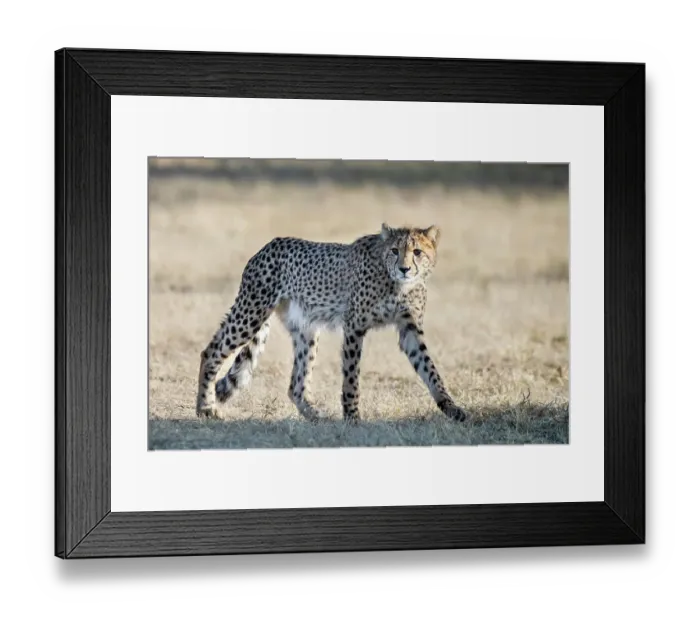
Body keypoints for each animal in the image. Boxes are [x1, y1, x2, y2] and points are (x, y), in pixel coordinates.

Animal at [196, 223, 470, 423]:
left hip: (305, 330)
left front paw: (451, 408)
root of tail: (267, 246)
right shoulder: (354, 327)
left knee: (296, 385)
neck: (396, 283)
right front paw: (352, 416)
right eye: (394, 250)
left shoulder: (409, 329)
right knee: (211, 351)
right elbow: (351, 376)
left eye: (417, 252)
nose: (404, 269)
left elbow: (430, 370)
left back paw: (317, 416)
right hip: (251, 313)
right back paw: (205, 408)